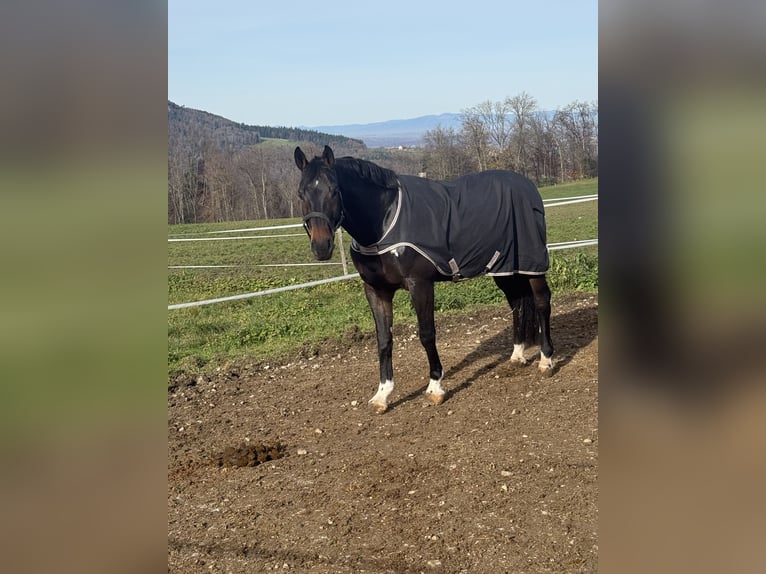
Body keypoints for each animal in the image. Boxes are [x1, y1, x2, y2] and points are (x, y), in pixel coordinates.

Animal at [294, 145, 554, 414]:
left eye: (334, 190)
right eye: (301, 193)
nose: (321, 246)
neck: (384, 221)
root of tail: (526, 184)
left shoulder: (419, 284)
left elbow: (427, 334)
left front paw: (435, 387)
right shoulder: (376, 290)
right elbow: (384, 339)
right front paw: (382, 395)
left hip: (532, 264)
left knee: (542, 302)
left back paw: (546, 360)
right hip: (505, 268)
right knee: (518, 303)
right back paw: (517, 355)